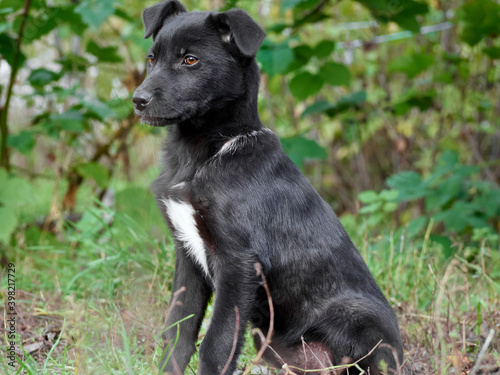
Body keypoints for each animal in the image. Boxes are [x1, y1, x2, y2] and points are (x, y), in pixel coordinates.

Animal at [132, 1, 402, 374]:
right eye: (151, 59)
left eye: (190, 60)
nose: (137, 100)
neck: (207, 152)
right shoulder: (186, 255)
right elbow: (177, 334)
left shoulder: (239, 263)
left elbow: (216, 344)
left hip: (358, 316)